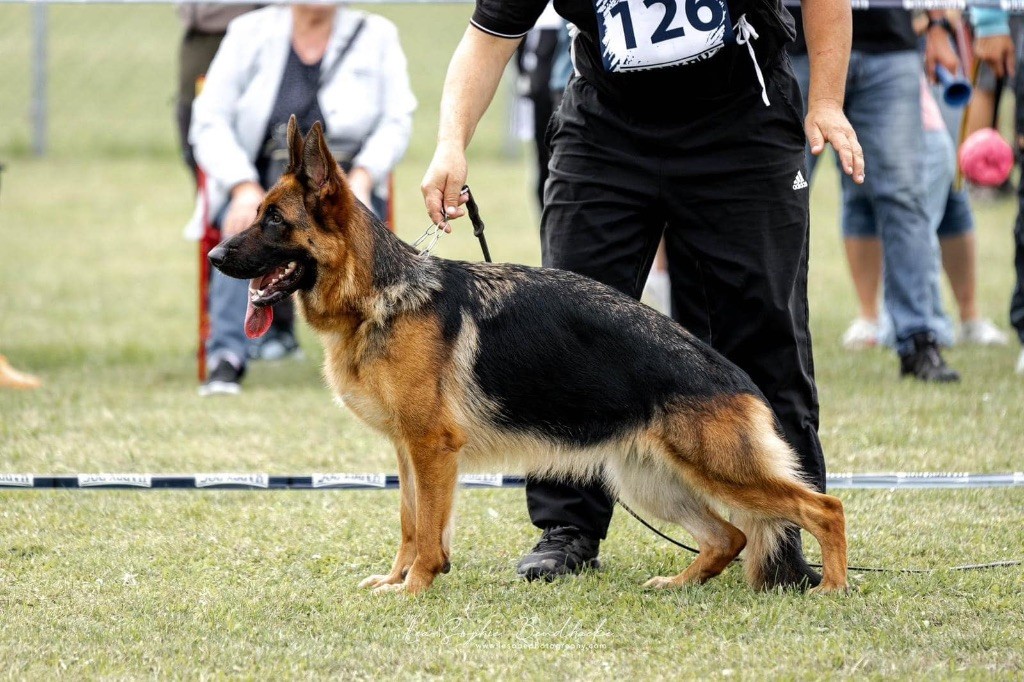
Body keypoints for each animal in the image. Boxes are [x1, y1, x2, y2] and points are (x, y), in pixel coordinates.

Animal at [205, 118, 847, 593]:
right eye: (257, 213)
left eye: (273, 220)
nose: (213, 256)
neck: (380, 296)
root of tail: (736, 377)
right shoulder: (409, 451)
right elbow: (410, 523)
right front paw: (396, 581)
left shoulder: (433, 449)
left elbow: (429, 532)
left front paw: (416, 588)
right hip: (650, 481)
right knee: (729, 538)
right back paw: (678, 584)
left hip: (721, 472)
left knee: (825, 507)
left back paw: (832, 589)